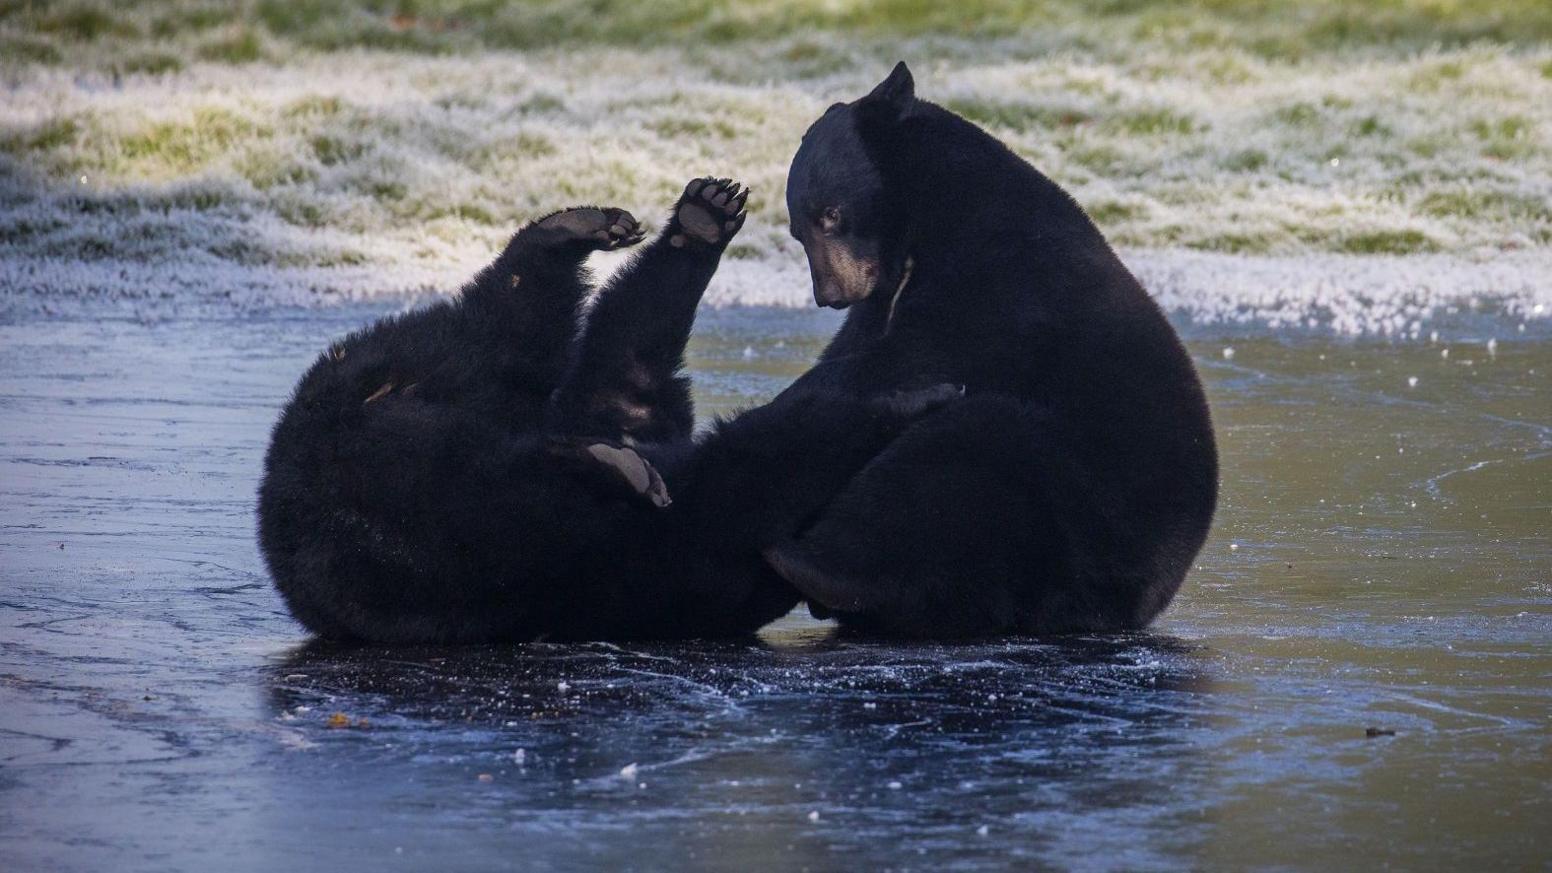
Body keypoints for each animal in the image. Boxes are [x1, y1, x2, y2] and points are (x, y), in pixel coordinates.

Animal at [257, 174, 956, 639]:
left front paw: (702, 217)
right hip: (435, 502)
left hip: (409, 389)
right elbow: (751, 466)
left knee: (503, 332)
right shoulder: (668, 555)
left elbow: (628, 360)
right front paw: (906, 397)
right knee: (501, 341)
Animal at [763, 61, 1222, 630]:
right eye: (796, 229)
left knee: (950, 466)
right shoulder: (883, 298)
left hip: (1079, 497)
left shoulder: (1007, 272)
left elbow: (925, 350)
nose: (829, 294)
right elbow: (861, 344)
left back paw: (806, 563)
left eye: (831, 214)